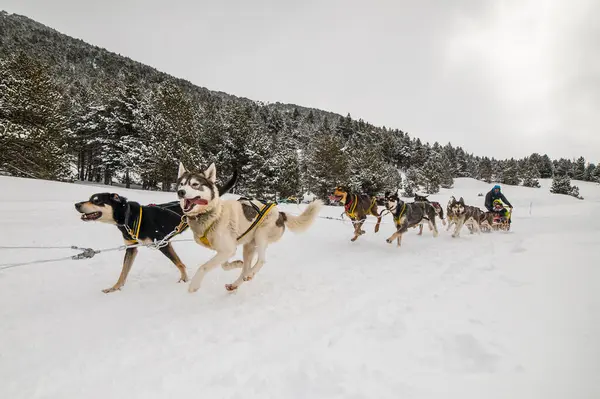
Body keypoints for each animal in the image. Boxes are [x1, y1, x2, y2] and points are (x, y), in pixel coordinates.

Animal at [176, 162, 324, 294]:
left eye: (195, 184)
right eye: (182, 184)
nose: (180, 192)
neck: (213, 214)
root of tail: (280, 214)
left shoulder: (227, 249)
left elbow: (204, 267)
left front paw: (194, 285)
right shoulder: (227, 250)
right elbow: (224, 265)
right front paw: (236, 264)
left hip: (261, 235)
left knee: (261, 260)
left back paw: (250, 273)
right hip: (249, 247)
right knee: (245, 269)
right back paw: (235, 284)